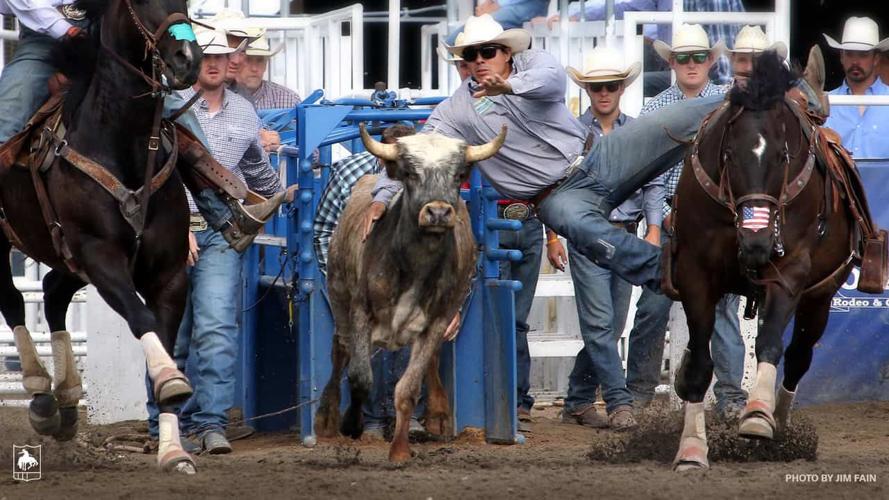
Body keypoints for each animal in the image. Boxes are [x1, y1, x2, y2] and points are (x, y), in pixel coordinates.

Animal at [0, 0, 201, 472]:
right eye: (141, 2)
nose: (187, 59)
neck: (122, 142)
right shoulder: (100, 255)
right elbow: (141, 318)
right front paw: (171, 379)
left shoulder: (168, 273)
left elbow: (163, 337)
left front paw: (173, 451)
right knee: (13, 298)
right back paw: (38, 388)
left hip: (65, 256)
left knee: (52, 293)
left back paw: (65, 400)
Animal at [664, 52, 876, 470]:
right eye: (729, 154)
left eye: (783, 155)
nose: (758, 241)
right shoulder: (695, 274)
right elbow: (698, 367)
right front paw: (691, 449)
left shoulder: (790, 270)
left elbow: (769, 344)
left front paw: (758, 416)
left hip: (820, 297)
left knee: (797, 357)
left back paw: (779, 425)